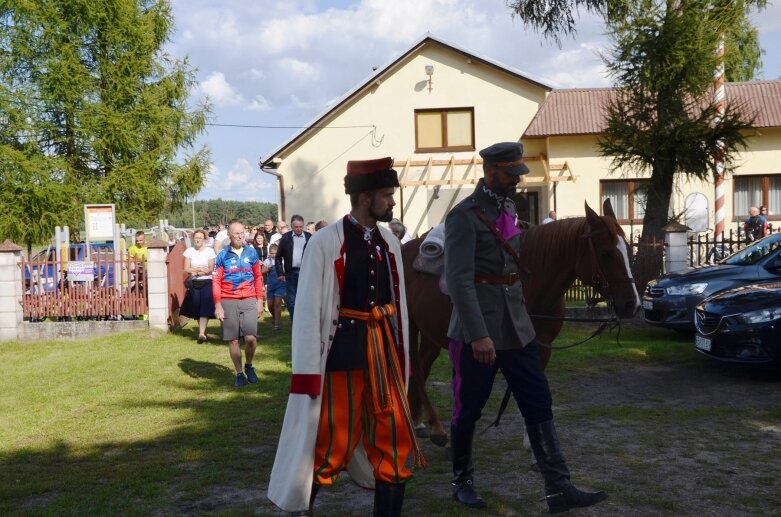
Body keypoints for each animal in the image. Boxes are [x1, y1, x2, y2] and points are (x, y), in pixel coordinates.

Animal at [402, 199, 640, 444]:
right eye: (606, 253)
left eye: (627, 248)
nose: (632, 304)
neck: (529, 285)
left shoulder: (542, 347)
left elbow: (535, 388)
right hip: (410, 325)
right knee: (415, 370)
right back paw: (436, 428)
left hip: (430, 333)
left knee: (423, 366)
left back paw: (418, 421)